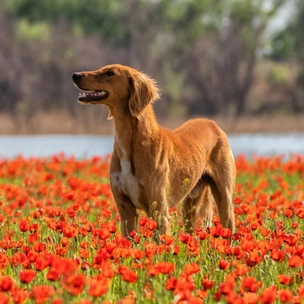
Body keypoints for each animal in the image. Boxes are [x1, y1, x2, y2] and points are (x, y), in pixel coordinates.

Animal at [72, 64, 236, 239]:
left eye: (110, 73)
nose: (75, 75)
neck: (131, 142)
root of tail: (212, 124)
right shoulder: (126, 212)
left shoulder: (159, 212)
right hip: (190, 206)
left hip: (224, 200)